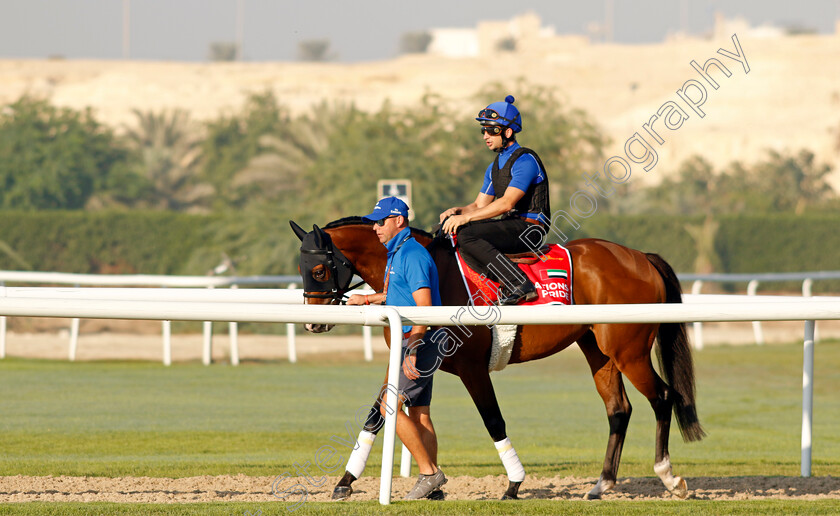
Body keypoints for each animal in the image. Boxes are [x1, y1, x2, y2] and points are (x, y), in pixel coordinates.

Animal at [288, 218, 704, 500]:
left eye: (319, 269)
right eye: (301, 269)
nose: (312, 323)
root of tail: (640, 257)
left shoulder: (472, 369)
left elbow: (493, 420)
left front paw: (514, 484)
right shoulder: (416, 363)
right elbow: (377, 414)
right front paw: (345, 481)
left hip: (628, 351)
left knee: (663, 397)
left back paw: (669, 476)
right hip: (597, 349)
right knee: (619, 409)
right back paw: (602, 484)